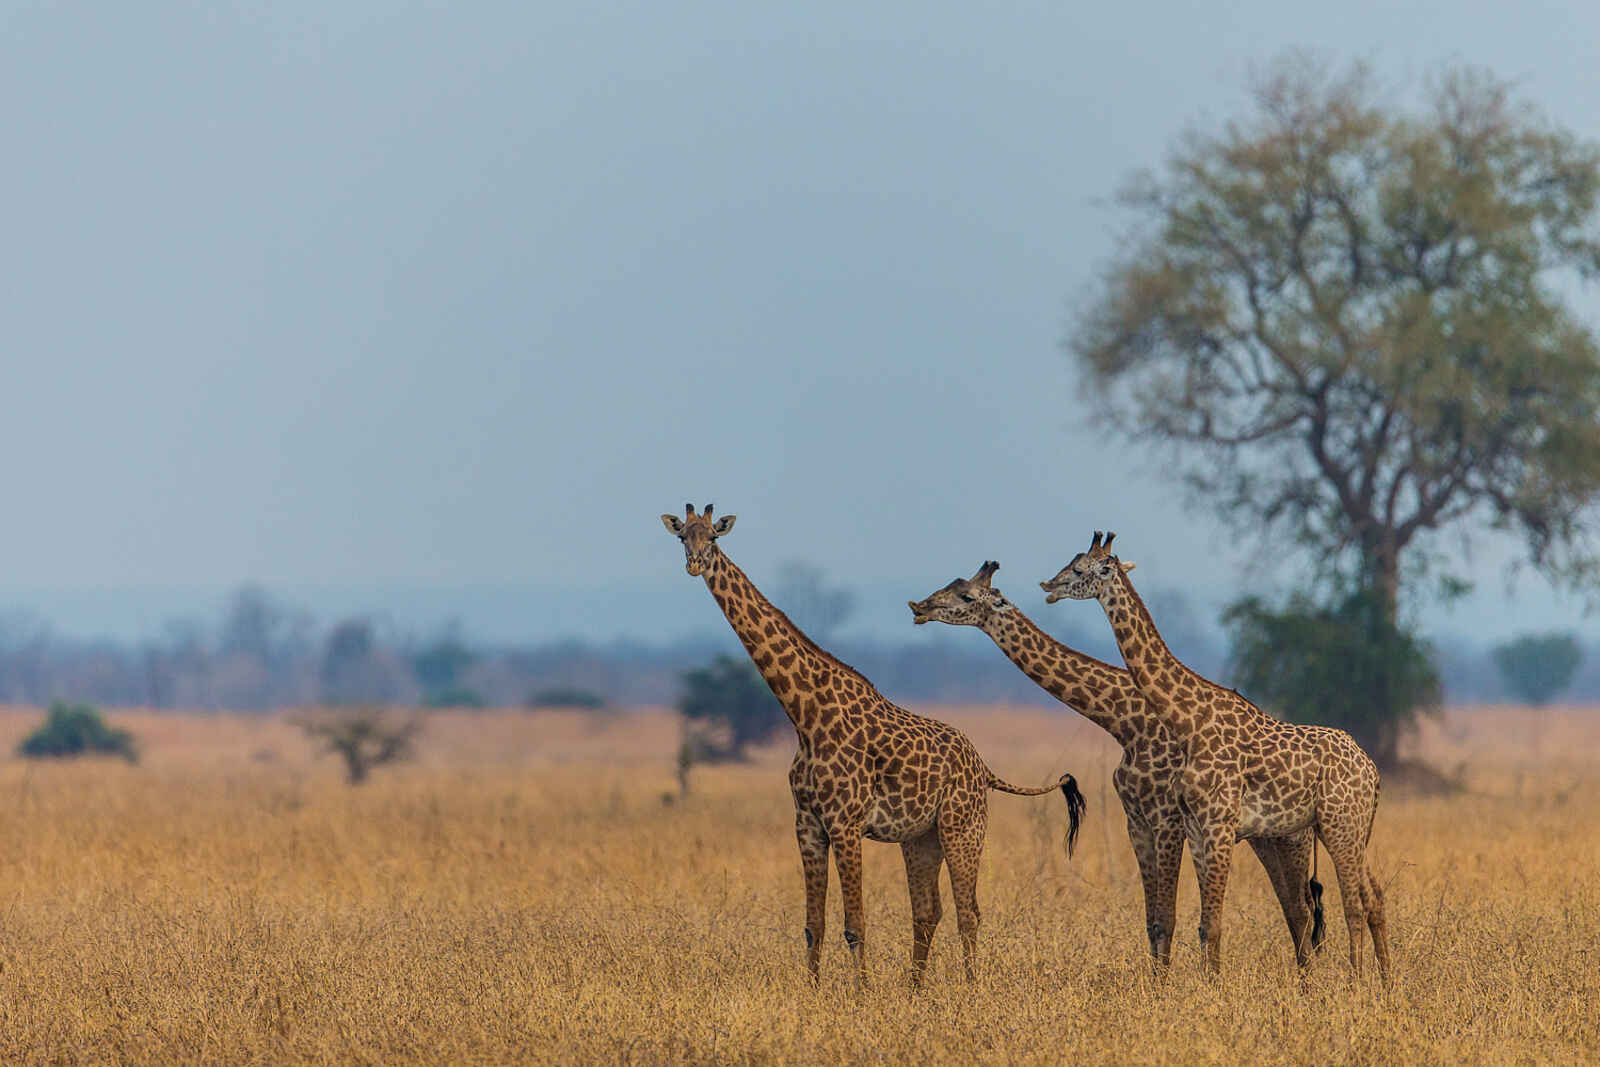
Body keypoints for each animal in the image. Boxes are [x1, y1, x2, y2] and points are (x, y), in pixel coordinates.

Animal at [661, 504, 1086, 987]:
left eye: (713, 537)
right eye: (683, 537)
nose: (695, 563)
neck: (804, 715)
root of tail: (984, 767)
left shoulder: (845, 823)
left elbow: (855, 924)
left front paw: (862, 995)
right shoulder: (807, 824)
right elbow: (814, 925)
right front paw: (814, 993)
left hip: (964, 827)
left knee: (969, 912)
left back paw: (971, 988)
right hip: (921, 837)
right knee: (928, 911)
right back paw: (915, 990)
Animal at [908, 560, 1325, 967]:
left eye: (966, 595)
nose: (919, 608)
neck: (1125, 722)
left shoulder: (1167, 819)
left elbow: (1167, 917)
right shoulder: (1136, 819)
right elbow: (1153, 921)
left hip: (1292, 838)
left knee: (1302, 910)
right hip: (1266, 838)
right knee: (1296, 910)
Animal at [1040, 532, 1390, 979]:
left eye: (1081, 569)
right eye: (1071, 562)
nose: (1048, 587)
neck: (1189, 720)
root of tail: (1372, 770)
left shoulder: (1218, 824)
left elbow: (1213, 923)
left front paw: (1213, 988)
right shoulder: (1194, 827)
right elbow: (1203, 922)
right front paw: (1206, 984)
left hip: (1337, 826)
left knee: (1351, 904)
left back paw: (1357, 982)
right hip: (1354, 828)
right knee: (1369, 897)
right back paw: (1385, 982)